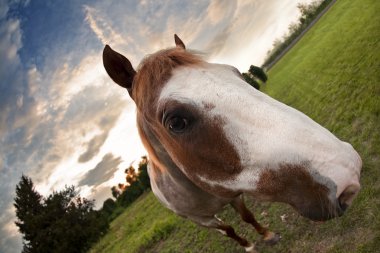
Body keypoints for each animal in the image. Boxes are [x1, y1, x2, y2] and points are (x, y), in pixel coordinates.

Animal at [101, 34, 362, 252]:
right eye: (176, 122)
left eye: (235, 73)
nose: (348, 169)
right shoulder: (201, 219)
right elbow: (228, 229)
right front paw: (249, 246)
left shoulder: (234, 195)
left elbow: (247, 216)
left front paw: (267, 235)